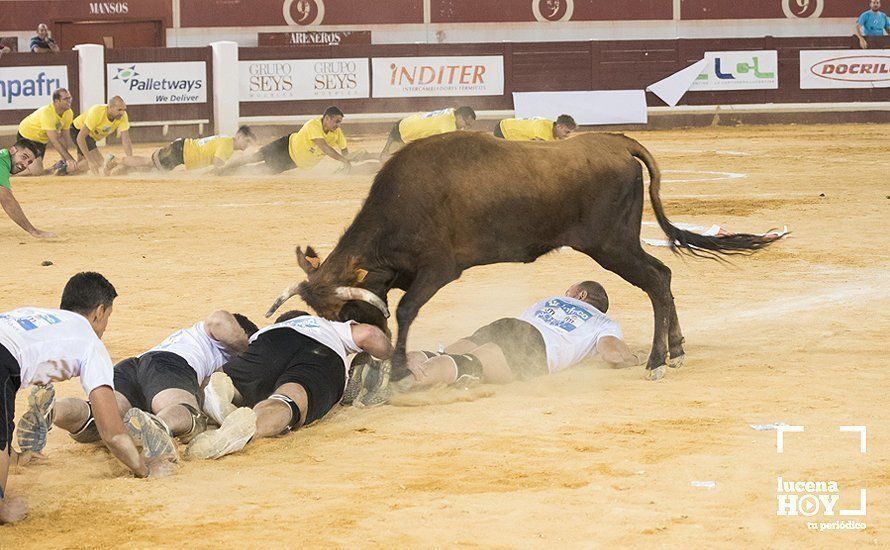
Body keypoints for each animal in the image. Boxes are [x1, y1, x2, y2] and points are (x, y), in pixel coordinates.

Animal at [266, 132, 776, 382]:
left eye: (342, 311)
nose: (359, 347)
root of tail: (619, 142)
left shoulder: (439, 270)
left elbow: (408, 310)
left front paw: (401, 370)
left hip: (612, 245)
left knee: (656, 280)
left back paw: (655, 361)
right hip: (617, 246)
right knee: (665, 276)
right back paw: (677, 349)